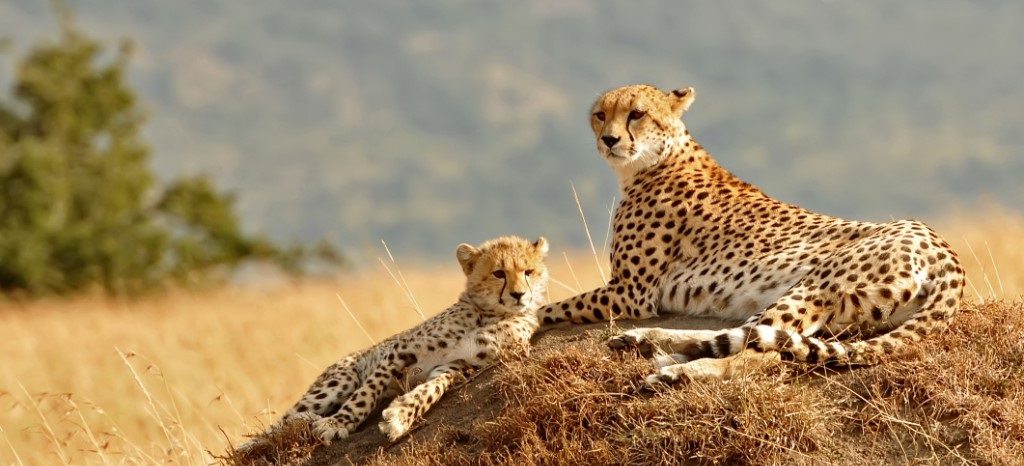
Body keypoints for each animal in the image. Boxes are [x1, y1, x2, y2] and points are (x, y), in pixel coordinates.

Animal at [540, 85, 962, 387]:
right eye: (600, 115)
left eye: (636, 114)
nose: (609, 139)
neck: (657, 158)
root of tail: (944, 249)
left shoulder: (631, 291)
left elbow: (549, 306)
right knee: (744, 334)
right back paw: (648, 343)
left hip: (814, 285)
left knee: (761, 351)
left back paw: (677, 369)